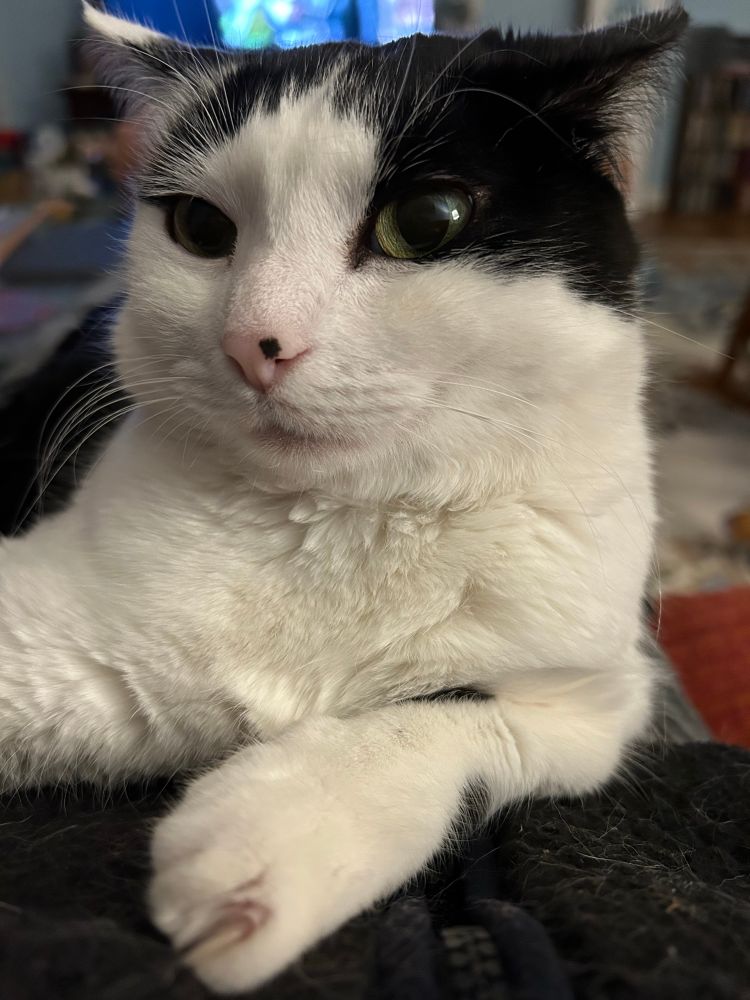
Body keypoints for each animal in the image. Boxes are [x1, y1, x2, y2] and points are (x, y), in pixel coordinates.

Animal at [0, 2, 686, 992]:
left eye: (426, 220)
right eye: (201, 227)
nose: (255, 340)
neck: (339, 523)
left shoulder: (597, 700)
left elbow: (448, 717)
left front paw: (262, 846)